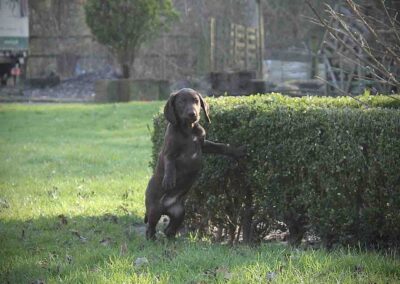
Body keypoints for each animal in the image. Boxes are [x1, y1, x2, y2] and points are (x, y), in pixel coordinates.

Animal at [144, 88, 244, 240]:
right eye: (181, 102)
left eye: (196, 101)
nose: (193, 114)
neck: (188, 130)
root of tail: (166, 208)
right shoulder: (169, 151)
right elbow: (169, 164)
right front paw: (169, 179)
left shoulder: (204, 145)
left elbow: (221, 146)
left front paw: (237, 151)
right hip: (154, 209)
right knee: (150, 227)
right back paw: (152, 239)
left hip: (179, 212)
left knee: (170, 228)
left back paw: (171, 238)